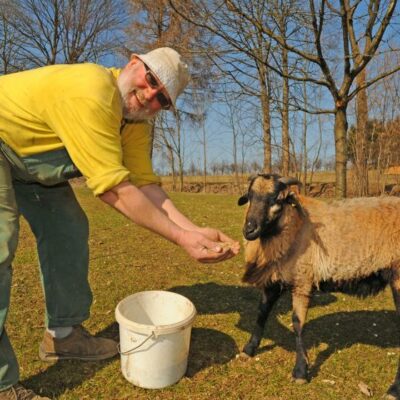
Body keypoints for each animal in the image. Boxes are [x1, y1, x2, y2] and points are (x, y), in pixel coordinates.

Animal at [238, 173, 400, 398]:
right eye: (250, 196)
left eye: (277, 199)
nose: (249, 229)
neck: (294, 226)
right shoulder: (276, 280)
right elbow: (261, 312)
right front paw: (249, 349)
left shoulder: (302, 279)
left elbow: (297, 323)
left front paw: (300, 371)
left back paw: (394, 389)